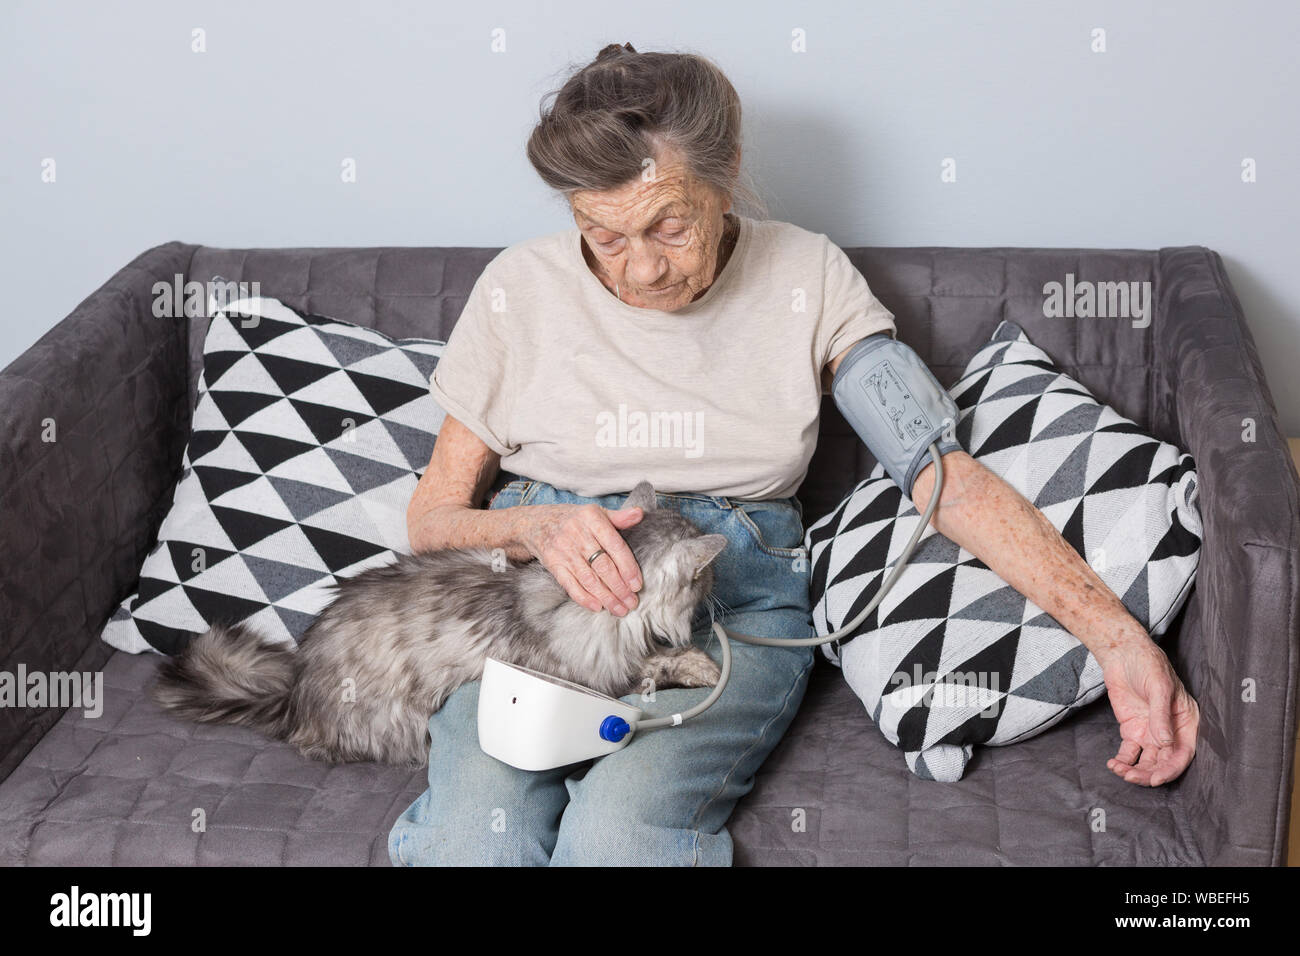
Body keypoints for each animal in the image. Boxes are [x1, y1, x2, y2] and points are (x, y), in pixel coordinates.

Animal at [150, 481, 728, 764]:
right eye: (705, 579)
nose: (721, 585)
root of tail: (294, 692)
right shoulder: (597, 676)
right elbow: (657, 664)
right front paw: (702, 666)